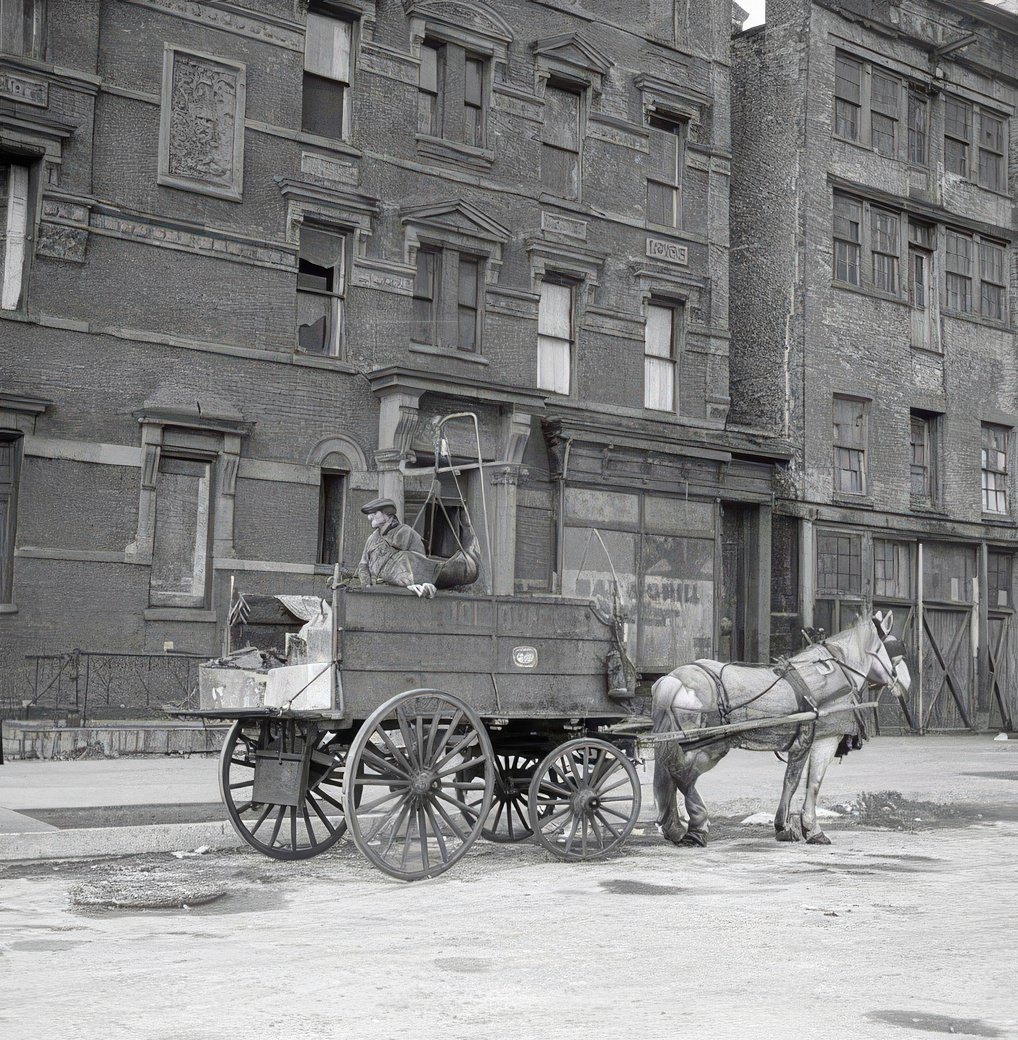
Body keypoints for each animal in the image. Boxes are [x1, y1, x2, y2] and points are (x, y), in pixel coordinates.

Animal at [648, 611, 910, 848]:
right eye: (891, 650)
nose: (906, 684)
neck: (837, 671)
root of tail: (675, 679)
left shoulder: (803, 742)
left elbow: (791, 782)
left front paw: (785, 826)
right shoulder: (823, 739)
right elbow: (811, 783)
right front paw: (810, 829)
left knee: (669, 777)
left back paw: (674, 828)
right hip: (708, 746)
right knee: (681, 776)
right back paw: (697, 827)